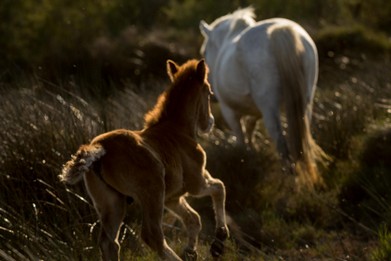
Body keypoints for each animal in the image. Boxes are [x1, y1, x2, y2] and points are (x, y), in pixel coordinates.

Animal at [201, 7, 326, 188]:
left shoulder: (229, 111)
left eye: (203, 52)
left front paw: (244, 156)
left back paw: (289, 177)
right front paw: (252, 151)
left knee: (280, 140)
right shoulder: (256, 111)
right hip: (304, 103)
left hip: (269, 108)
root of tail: (280, 31)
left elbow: (240, 135)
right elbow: (250, 127)